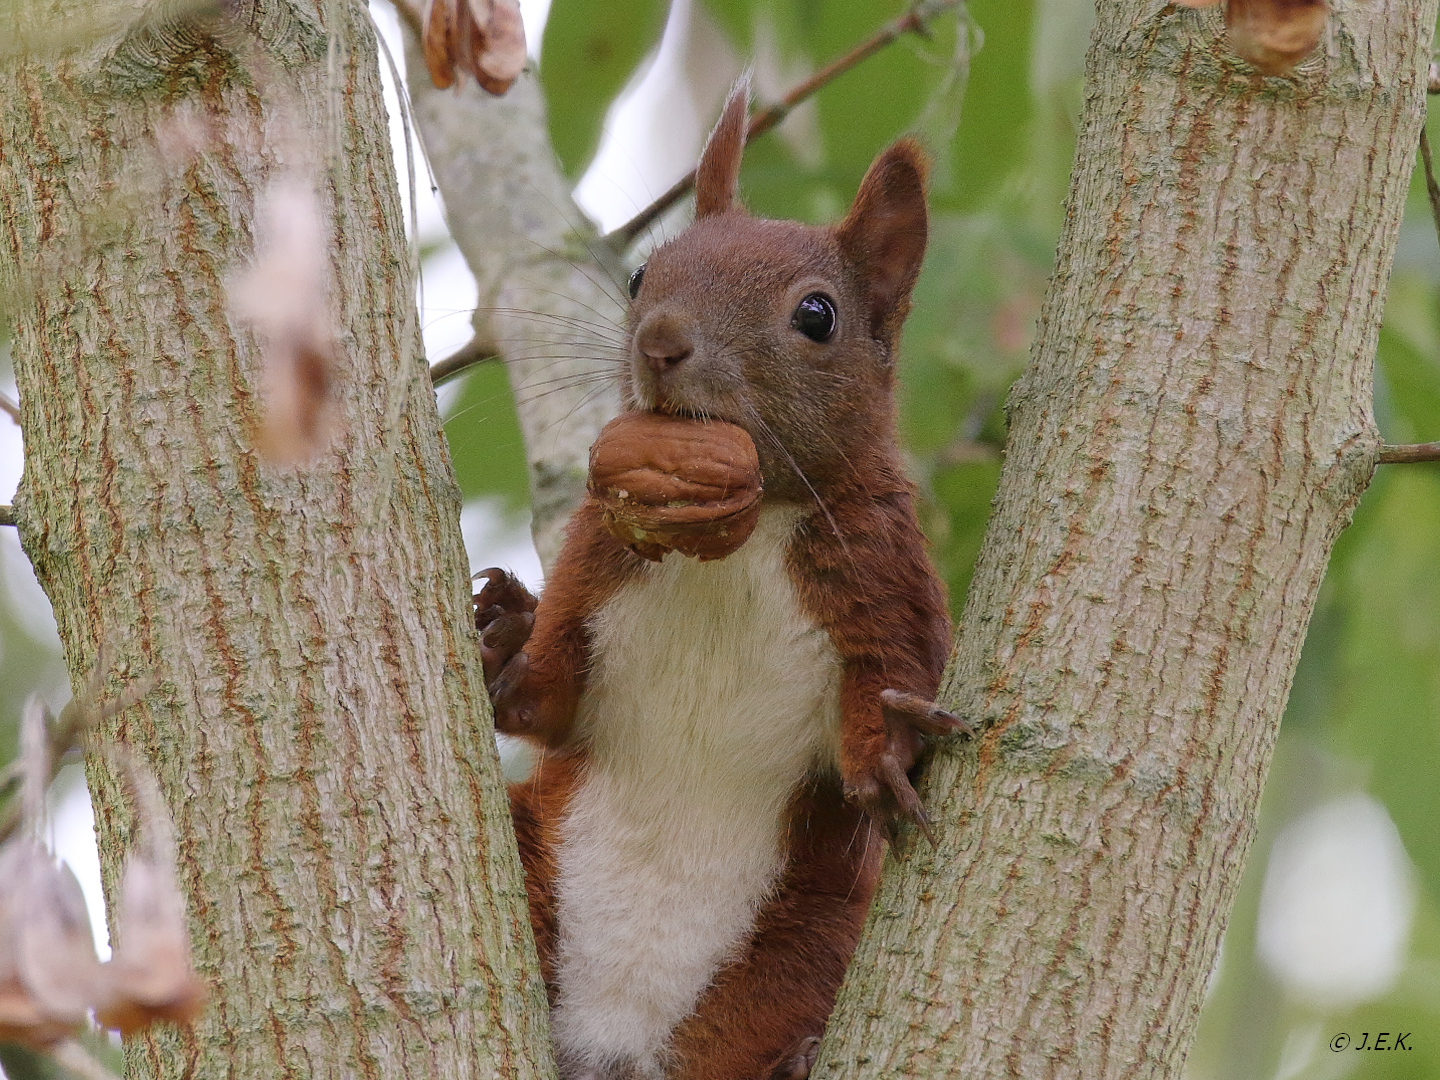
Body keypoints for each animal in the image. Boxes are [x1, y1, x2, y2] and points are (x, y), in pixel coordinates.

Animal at [472, 80, 967, 1077]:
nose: (660, 341)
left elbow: (887, 690)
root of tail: (616, 1046)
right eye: (639, 277)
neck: (732, 538)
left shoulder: (887, 580)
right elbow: (548, 699)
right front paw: (505, 640)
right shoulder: (596, 561)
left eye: (816, 316)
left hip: (805, 942)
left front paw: (890, 745)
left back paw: (797, 1056)